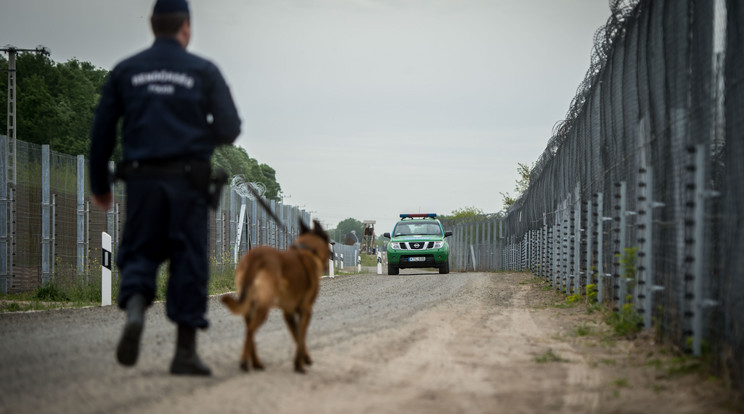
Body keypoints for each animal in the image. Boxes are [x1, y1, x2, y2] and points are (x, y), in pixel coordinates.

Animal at [218, 218, 328, 374]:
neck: (307, 251)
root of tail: (256, 256)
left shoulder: (288, 313)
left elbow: (296, 336)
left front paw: (303, 359)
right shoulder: (306, 310)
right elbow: (301, 337)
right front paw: (300, 364)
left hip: (250, 307)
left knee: (249, 331)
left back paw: (256, 363)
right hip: (263, 307)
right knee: (250, 331)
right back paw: (245, 362)